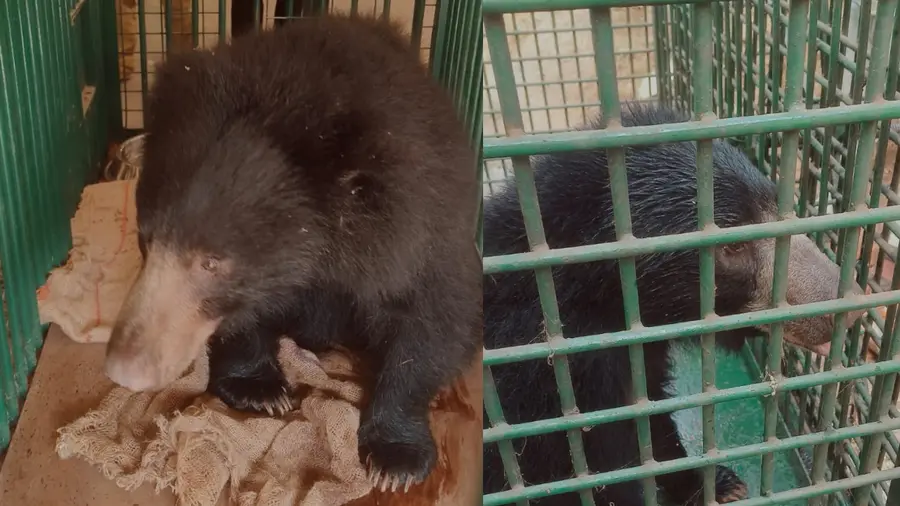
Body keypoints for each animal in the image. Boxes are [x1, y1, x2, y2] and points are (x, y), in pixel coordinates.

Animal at [103, 14, 481, 492]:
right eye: (146, 240)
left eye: (212, 263)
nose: (124, 368)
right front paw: (261, 392)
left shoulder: (424, 229)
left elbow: (431, 325)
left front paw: (395, 460)